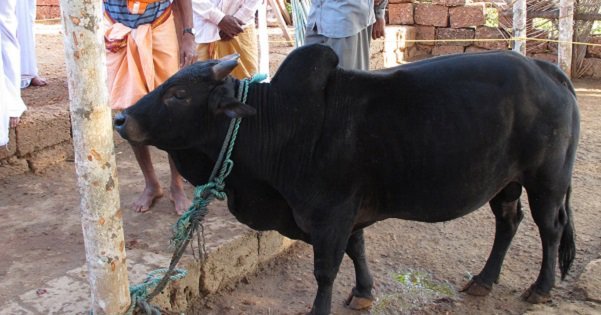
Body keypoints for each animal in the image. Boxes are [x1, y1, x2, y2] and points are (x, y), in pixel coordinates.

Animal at [112, 44, 576, 315]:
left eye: (177, 95)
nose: (121, 118)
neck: (280, 122)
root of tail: (545, 68)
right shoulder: (347, 215)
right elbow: (357, 250)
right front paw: (364, 292)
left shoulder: (329, 215)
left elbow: (326, 271)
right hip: (505, 182)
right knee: (508, 222)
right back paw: (483, 280)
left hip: (547, 180)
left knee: (549, 229)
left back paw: (541, 288)